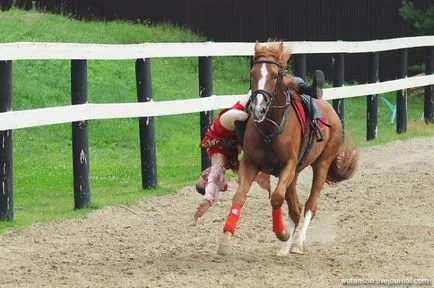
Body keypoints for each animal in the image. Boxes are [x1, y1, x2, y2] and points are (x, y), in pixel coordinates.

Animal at [217, 41, 360, 255]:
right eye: (252, 73)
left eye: (275, 75)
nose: (257, 108)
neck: (269, 129)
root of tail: (331, 111)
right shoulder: (250, 164)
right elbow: (239, 197)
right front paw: (225, 240)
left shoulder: (289, 165)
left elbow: (277, 198)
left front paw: (282, 233)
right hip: (295, 174)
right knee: (295, 208)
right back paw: (285, 248)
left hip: (321, 164)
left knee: (310, 205)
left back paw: (297, 242)